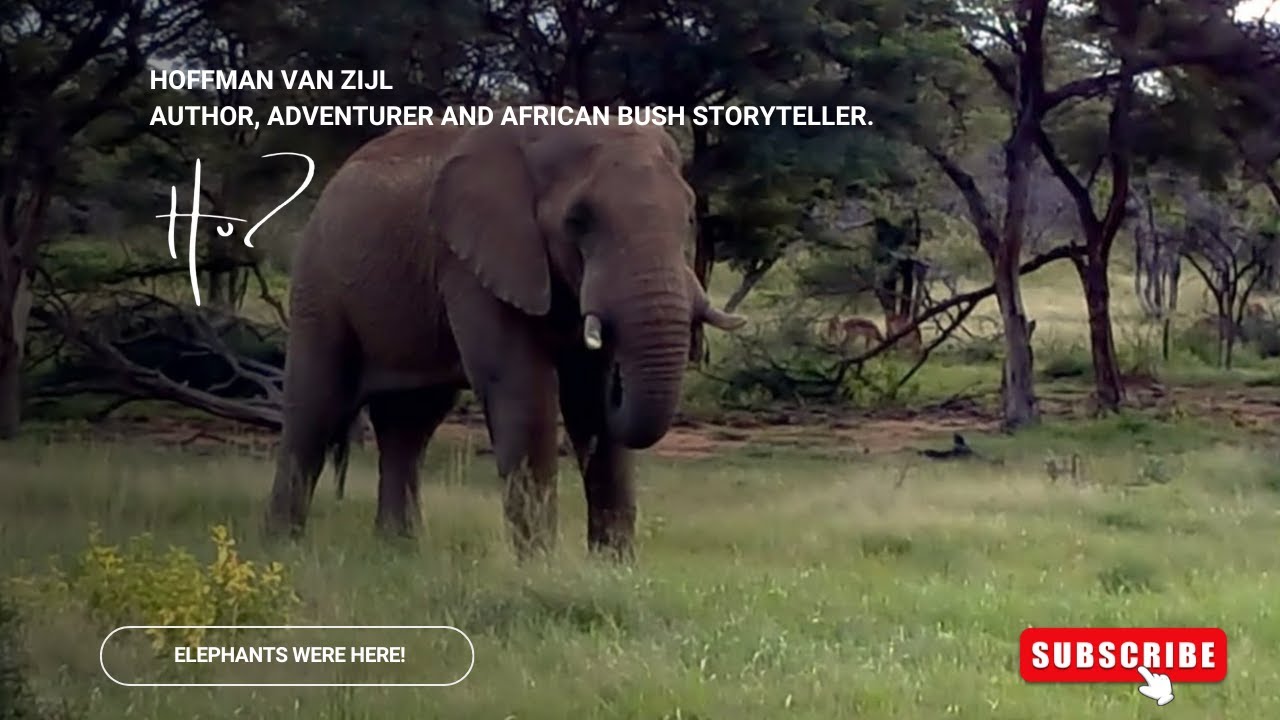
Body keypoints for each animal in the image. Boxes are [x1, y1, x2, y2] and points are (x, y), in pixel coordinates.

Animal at [263, 117, 747, 559]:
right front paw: (541, 569)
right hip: (318, 284)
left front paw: (614, 570)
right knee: (315, 407)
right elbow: (523, 389)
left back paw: (399, 551)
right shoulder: (471, 262)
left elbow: (587, 398)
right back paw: (285, 547)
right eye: (578, 221)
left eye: (689, 216)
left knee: (409, 424)